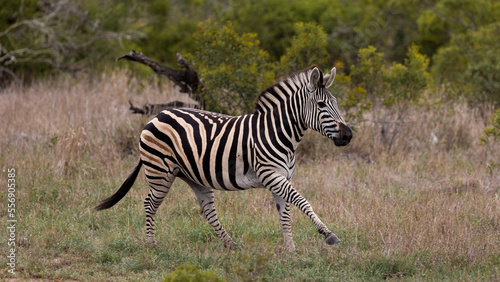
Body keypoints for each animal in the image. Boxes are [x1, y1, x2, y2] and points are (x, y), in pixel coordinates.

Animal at [95, 65, 354, 251]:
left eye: (336, 103)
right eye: (321, 104)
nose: (348, 135)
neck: (279, 132)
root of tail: (157, 115)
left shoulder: (281, 178)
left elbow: (286, 213)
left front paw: (291, 250)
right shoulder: (270, 174)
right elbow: (302, 201)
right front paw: (328, 234)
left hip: (193, 177)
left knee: (208, 211)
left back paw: (231, 245)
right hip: (160, 172)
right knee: (150, 203)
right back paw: (151, 245)